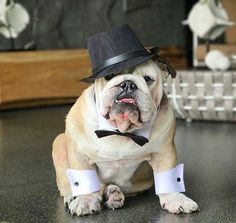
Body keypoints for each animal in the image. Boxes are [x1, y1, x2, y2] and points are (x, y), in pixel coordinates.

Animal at [52, 57, 199, 216]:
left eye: (147, 79)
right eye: (109, 76)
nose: (128, 84)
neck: (121, 129)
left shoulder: (165, 153)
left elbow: (168, 178)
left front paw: (176, 199)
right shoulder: (80, 155)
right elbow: (85, 180)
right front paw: (85, 200)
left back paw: (112, 195)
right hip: (59, 142)